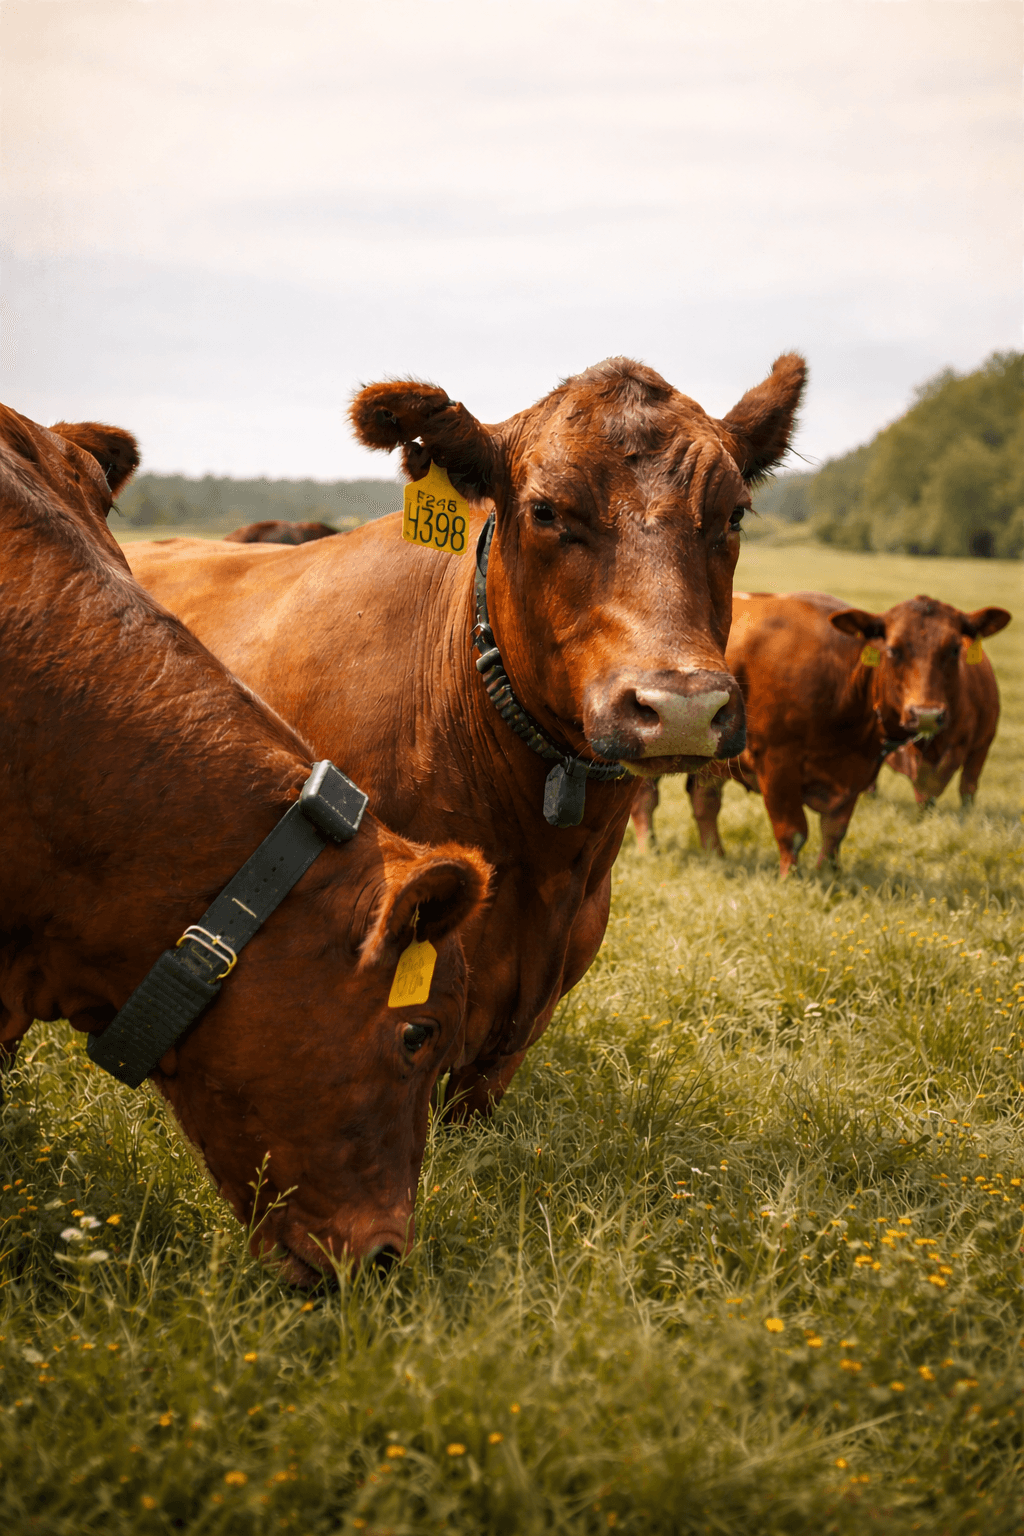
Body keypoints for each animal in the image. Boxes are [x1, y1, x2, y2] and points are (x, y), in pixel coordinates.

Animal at [631, 591, 1010, 877]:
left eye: (954, 649)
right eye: (893, 650)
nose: (927, 714)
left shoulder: (858, 768)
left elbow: (835, 831)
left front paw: (827, 873)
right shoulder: (777, 760)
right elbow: (793, 830)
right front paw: (792, 879)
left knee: (704, 801)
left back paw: (716, 855)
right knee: (646, 801)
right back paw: (649, 848)